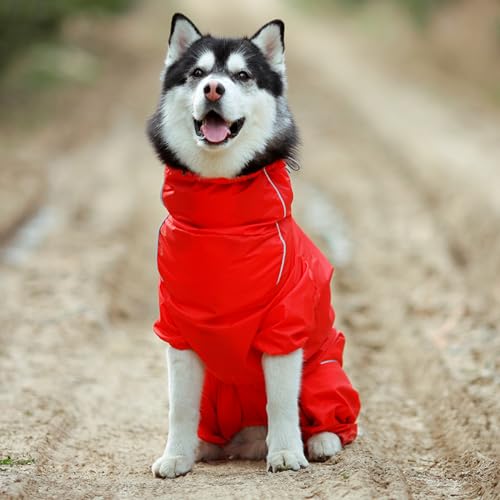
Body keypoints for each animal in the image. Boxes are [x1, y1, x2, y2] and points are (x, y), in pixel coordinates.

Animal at [146, 13, 360, 478]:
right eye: (197, 74)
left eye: (242, 75)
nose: (213, 89)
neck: (221, 220)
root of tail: (247, 440)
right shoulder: (177, 328)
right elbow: (179, 406)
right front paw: (175, 456)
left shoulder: (284, 326)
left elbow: (280, 401)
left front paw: (286, 453)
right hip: (217, 390)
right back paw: (201, 448)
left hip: (322, 373)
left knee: (326, 414)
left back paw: (320, 441)